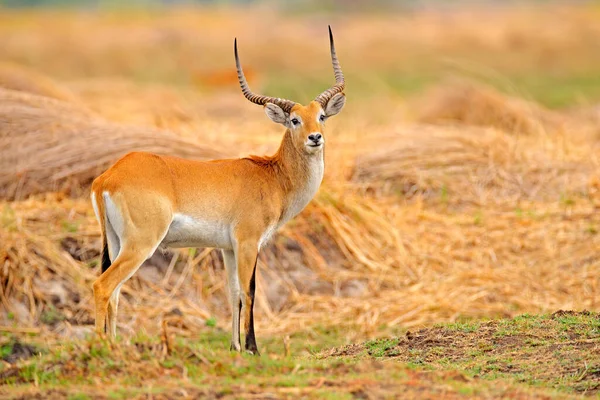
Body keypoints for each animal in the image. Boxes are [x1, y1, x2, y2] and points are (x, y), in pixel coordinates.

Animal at [88, 26, 342, 354]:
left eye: (321, 116)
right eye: (295, 120)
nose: (315, 138)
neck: (272, 176)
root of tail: (109, 176)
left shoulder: (227, 248)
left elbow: (233, 293)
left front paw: (235, 348)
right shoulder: (248, 242)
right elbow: (249, 291)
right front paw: (253, 348)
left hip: (115, 242)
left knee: (115, 292)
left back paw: (115, 345)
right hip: (141, 243)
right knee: (103, 285)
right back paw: (100, 346)